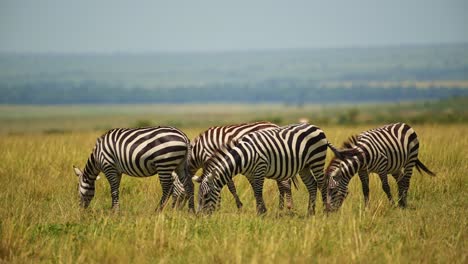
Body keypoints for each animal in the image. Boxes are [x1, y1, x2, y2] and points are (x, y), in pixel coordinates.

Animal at [197, 122, 330, 216]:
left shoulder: (260, 169)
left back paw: (325, 211)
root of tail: (316, 127)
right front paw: (262, 211)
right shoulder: (250, 174)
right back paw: (310, 212)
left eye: (206, 195)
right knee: (312, 185)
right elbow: (255, 193)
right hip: (305, 167)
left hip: (317, 160)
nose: (199, 217)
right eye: (198, 196)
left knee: (322, 184)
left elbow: (258, 192)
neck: (244, 155)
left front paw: (260, 213)